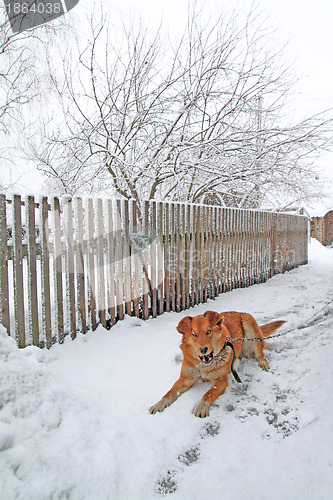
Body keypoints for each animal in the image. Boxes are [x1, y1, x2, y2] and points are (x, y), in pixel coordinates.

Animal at [149, 310, 284, 416]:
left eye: (208, 331)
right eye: (194, 334)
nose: (203, 349)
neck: (204, 365)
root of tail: (238, 312)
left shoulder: (221, 381)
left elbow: (208, 394)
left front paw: (201, 407)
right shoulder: (185, 379)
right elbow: (170, 393)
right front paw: (158, 404)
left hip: (249, 323)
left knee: (259, 350)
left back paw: (263, 362)